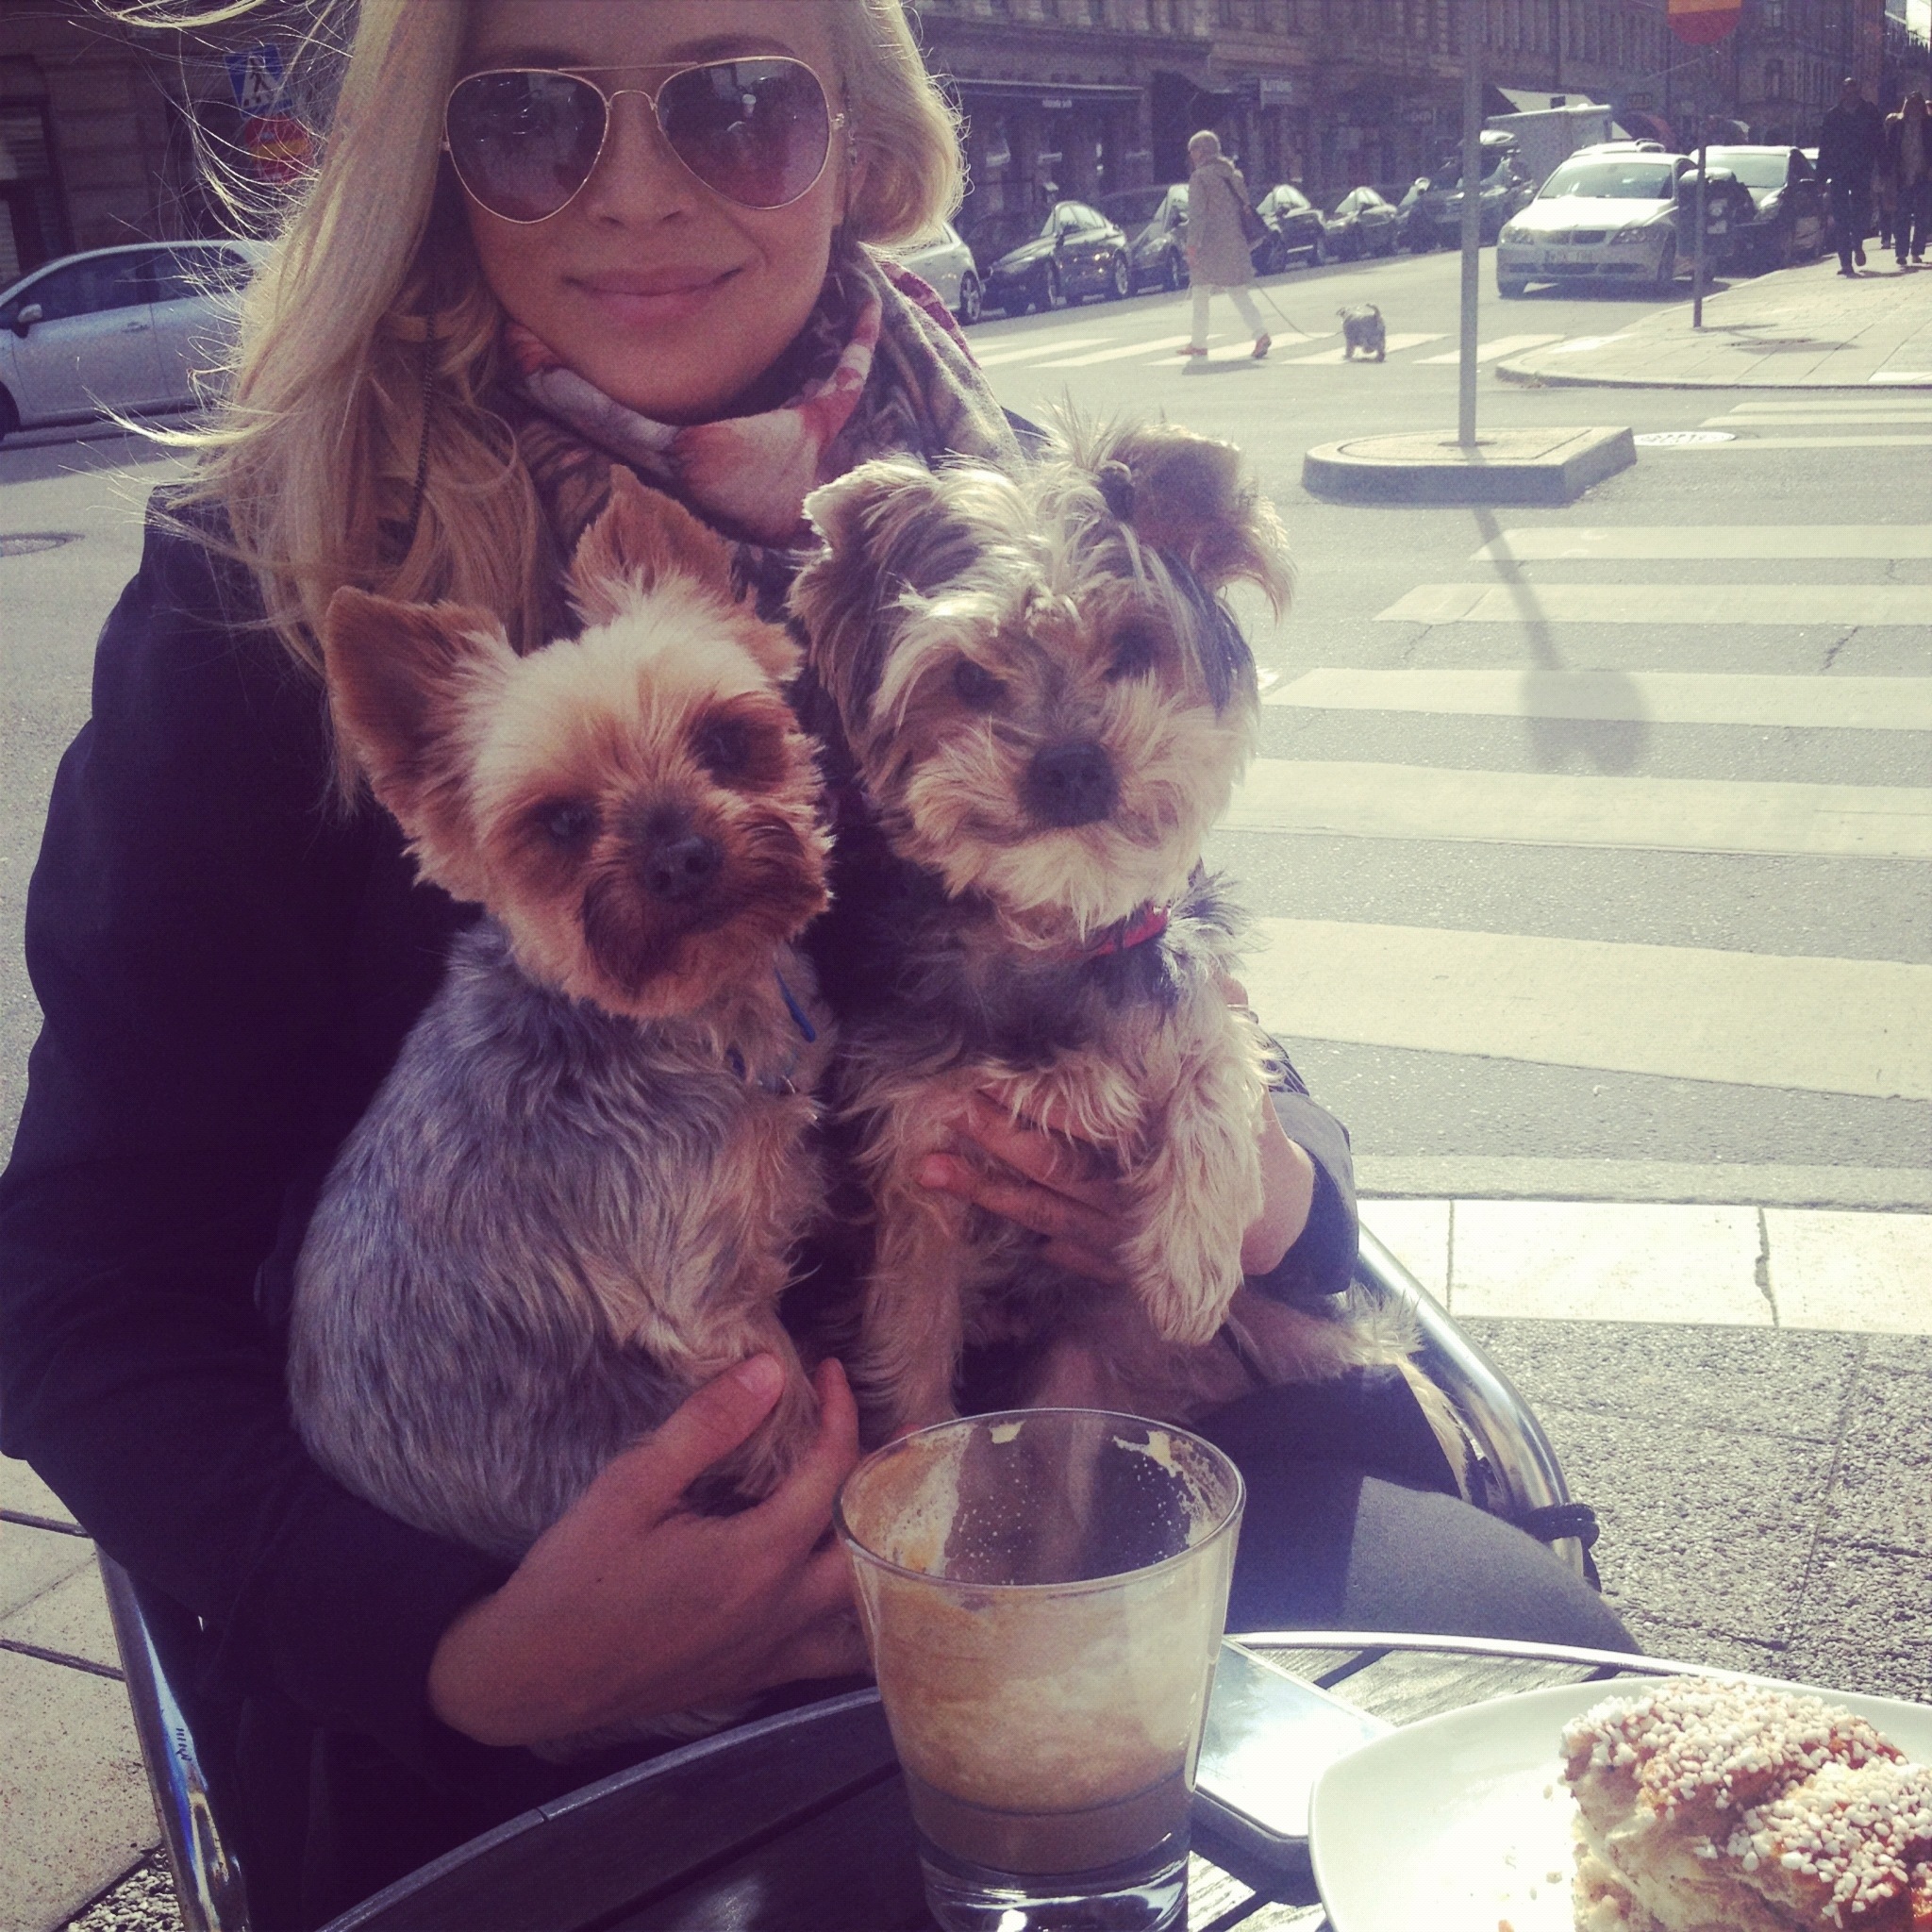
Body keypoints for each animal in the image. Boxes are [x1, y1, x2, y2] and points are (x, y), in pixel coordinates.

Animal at [288, 472, 833, 1567]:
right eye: (563, 821)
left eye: (725, 739)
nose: (683, 857)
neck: (685, 1021)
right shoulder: (708, 1313)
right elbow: (788, 1420)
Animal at [789, 420, 1442, 1446]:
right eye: (967, 678)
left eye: (1134, 646)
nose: (1070, 763)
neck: (1051, 932)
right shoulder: (919, 1164)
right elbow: (913, 1347)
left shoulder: (1184, 979)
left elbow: (1219, 1058)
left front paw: (1188, 1263)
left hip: (1250, 1328)